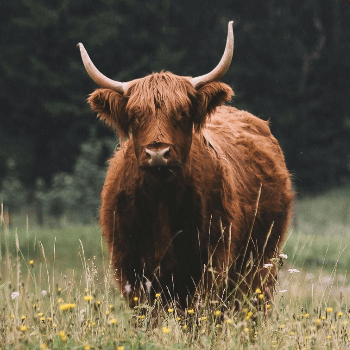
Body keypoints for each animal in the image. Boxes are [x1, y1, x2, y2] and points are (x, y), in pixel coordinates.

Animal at [78, 21, 292, 308]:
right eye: (135, 115)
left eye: (181, 113)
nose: (157, 153)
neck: (161, 201)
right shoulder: (130, 268)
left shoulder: (209, 264)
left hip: (262, 261)